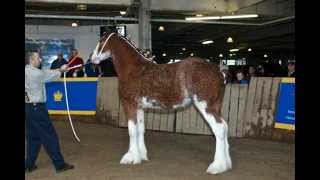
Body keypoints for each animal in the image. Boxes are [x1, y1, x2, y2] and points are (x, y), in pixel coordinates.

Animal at [91, 32, 231, 174]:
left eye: (101, 41)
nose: (92, 58)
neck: (134, 68)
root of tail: (219, 72)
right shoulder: (139, 108)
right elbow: (140, 129)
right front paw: (141, 155)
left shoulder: (130, 105)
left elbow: (132, 130)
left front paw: (131, 157)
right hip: (215, 106)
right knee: (225, 127)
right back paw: (226, 164)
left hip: (206, 106)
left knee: (219, 129)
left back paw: (217, 166)